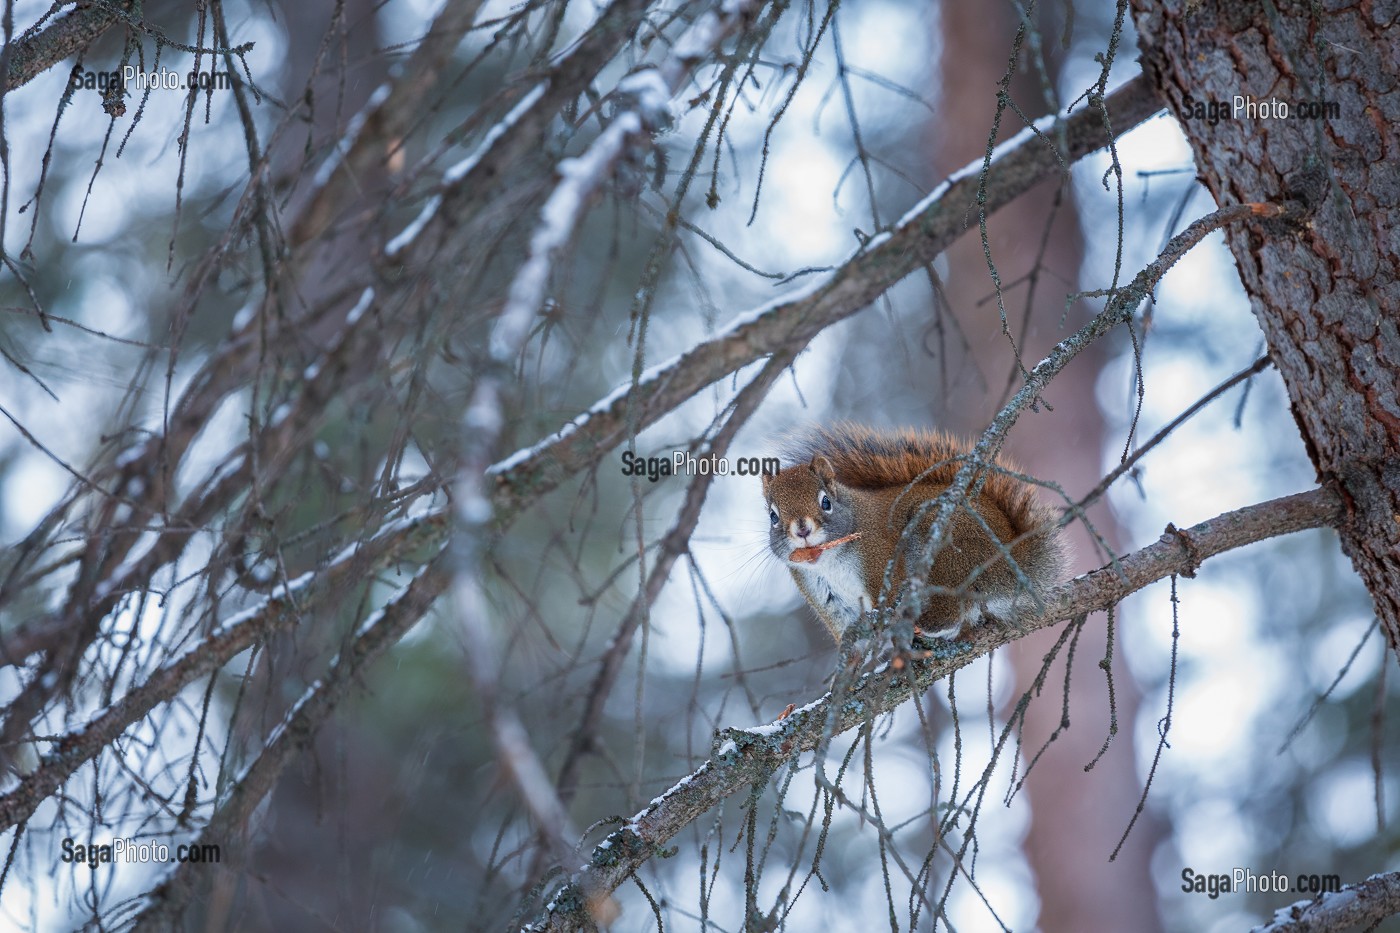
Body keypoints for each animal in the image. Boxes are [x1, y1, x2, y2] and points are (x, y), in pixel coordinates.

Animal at [761, 425, 1064, 638]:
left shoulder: (880, 560)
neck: (829, 562)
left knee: (952, 607)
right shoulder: (828, 601)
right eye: (773, 516)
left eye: (826, 502)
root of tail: (1015, 558)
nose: (802, 529)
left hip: (946, 549)